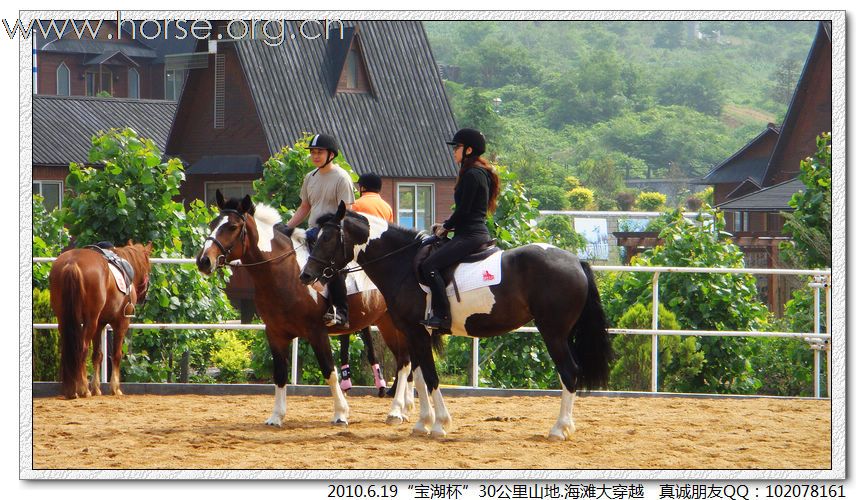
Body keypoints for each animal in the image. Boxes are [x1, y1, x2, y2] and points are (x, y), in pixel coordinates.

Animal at [48, 240, 152, 400]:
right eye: (148, 266)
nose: (144, 295)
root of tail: (72, 262)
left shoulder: (100, 324)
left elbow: (97, 355)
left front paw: (96, 387)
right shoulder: (121, 322)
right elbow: (116, 354)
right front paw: (115, 388)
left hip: (65, 319)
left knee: (69, 349)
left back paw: (72, 389)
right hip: (90, 321)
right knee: (82, 348)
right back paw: (83, 389)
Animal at [197, 191, 414, 426]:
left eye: (233, 227)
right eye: (212, 223)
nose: (203, 261)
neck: (285, 273)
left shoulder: (316, 332)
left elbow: (329, 371)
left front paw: (340, 413)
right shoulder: (275, 333)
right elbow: (280, 374)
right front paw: (276, 416)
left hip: (395, 325)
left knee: (404, 363)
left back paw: (396, 411)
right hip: (387, 324)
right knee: (408, 363)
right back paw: (406, 408)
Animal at [300, 201, 612, 440]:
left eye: (327, 238)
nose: (306, 275)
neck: (402, 264)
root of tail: (576, 262)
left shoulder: (417, 332)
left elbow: (431, 377)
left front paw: (439, 425)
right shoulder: (413, 333)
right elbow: (421, 377)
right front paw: (422, 424)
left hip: (553, 332)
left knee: (569, 371)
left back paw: (559, 429)